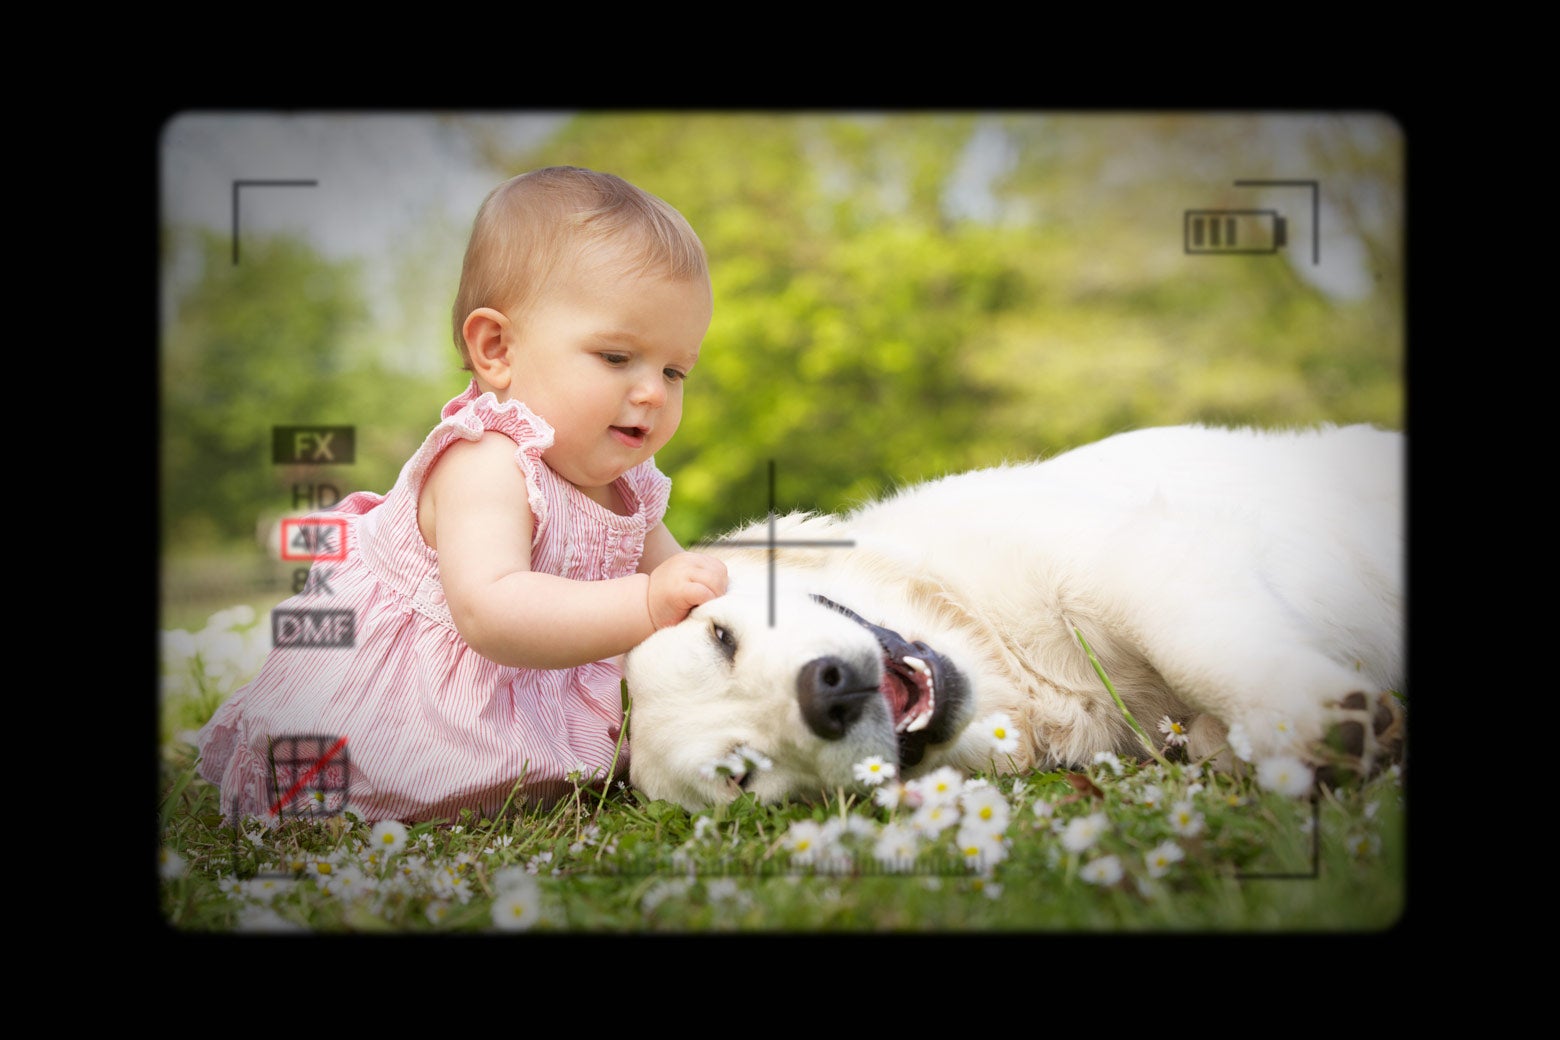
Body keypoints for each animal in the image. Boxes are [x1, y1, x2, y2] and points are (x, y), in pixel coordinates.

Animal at [627, 424, 1410, 810]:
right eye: (741, 775)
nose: (828, 695)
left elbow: (1198, 650)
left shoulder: (1133, 556)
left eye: (721, 637)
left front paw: (1304, 719)